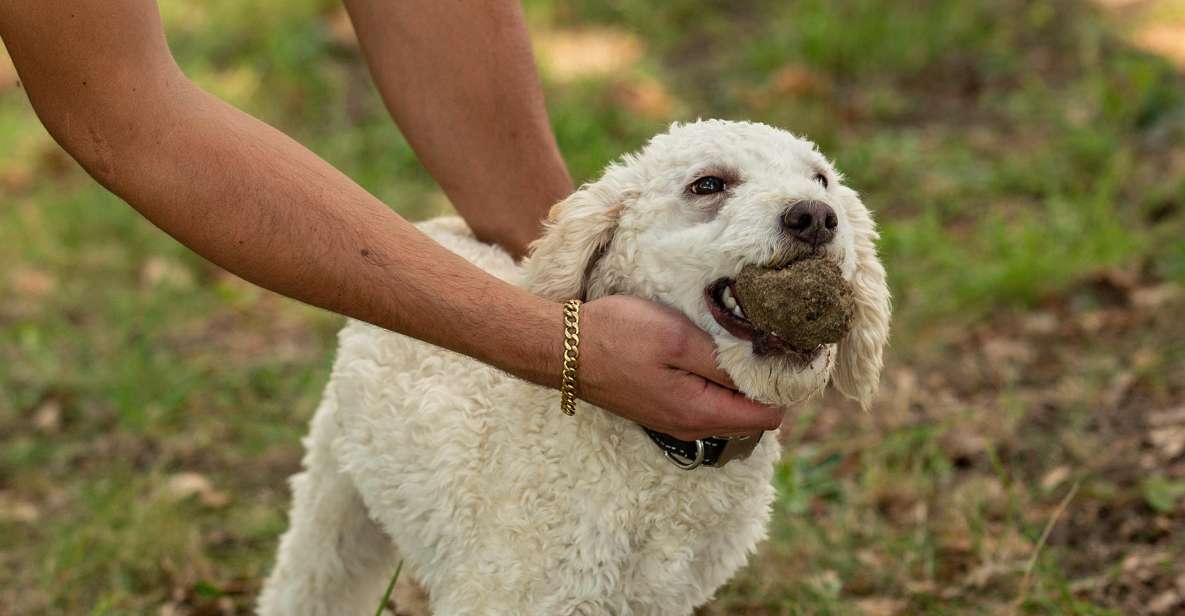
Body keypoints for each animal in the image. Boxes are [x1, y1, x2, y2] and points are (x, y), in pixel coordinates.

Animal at [259, 117, 891, 611]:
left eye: (821, 179)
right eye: (708, 184)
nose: (816, 216)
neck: (662, 463)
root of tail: (436, 226)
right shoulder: (514, 593)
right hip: (336, 495)